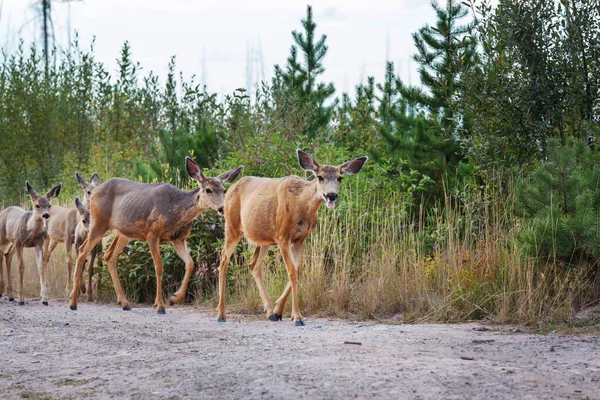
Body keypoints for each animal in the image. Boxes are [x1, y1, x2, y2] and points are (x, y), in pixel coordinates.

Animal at [68, 158, 241, 314]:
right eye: (208, 189)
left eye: (223, 190)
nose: (222, 208)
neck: (176, 210)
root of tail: (95, 191)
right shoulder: (152, 234)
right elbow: (158, 267)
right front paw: (160, 305)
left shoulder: (178, 239)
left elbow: (191, 264)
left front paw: (174, 298)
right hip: (99, 223)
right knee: (82, 251)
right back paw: (73, 301)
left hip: (124, 233)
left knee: (109, 256)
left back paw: (124, 303)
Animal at [216, 149, 366, 324]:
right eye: (320, 176)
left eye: (340, 177)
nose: (331, 195)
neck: (301, 204)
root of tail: (230, 188)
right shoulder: (283, 237)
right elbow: (292, 272)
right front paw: (297, 317)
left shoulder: (301, 239)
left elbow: (297, 271)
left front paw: (278, 311)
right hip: (232, 226)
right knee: (224, 259)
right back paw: (221, 314)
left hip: (264, 239)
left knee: (253, 265)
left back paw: (269, 312)